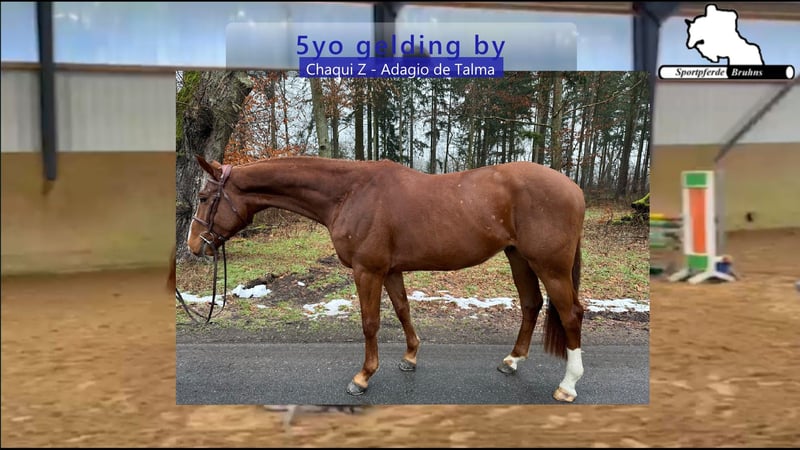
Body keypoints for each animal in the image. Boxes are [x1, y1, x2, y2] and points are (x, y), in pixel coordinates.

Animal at [185, 155, 587, 403]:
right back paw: (512, 361)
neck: (349, 193)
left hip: (550, 265)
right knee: (531, 305)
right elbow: (403, 310)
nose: (193, 246)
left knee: (571, 315)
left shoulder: (368, 270)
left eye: (204, 197)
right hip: (519, 257)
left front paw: (362, 378)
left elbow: (370, 322)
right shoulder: (390, 270)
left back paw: (567, 386)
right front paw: (410, 357)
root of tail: (574, 188)